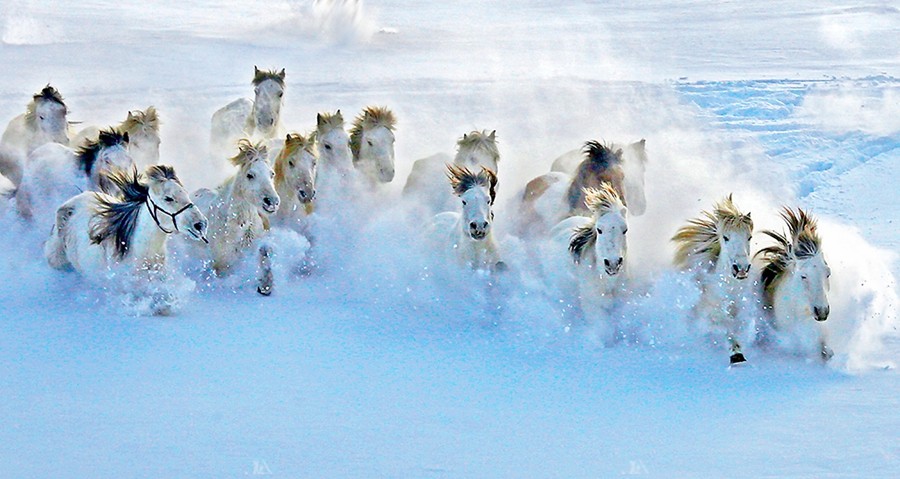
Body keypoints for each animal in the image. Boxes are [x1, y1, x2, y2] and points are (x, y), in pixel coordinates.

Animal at [193, 140, 282, 296]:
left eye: (272, 174)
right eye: (250, 175)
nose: (272, 202)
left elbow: (265, 251)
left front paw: (265, 285)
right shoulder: (223, 263)